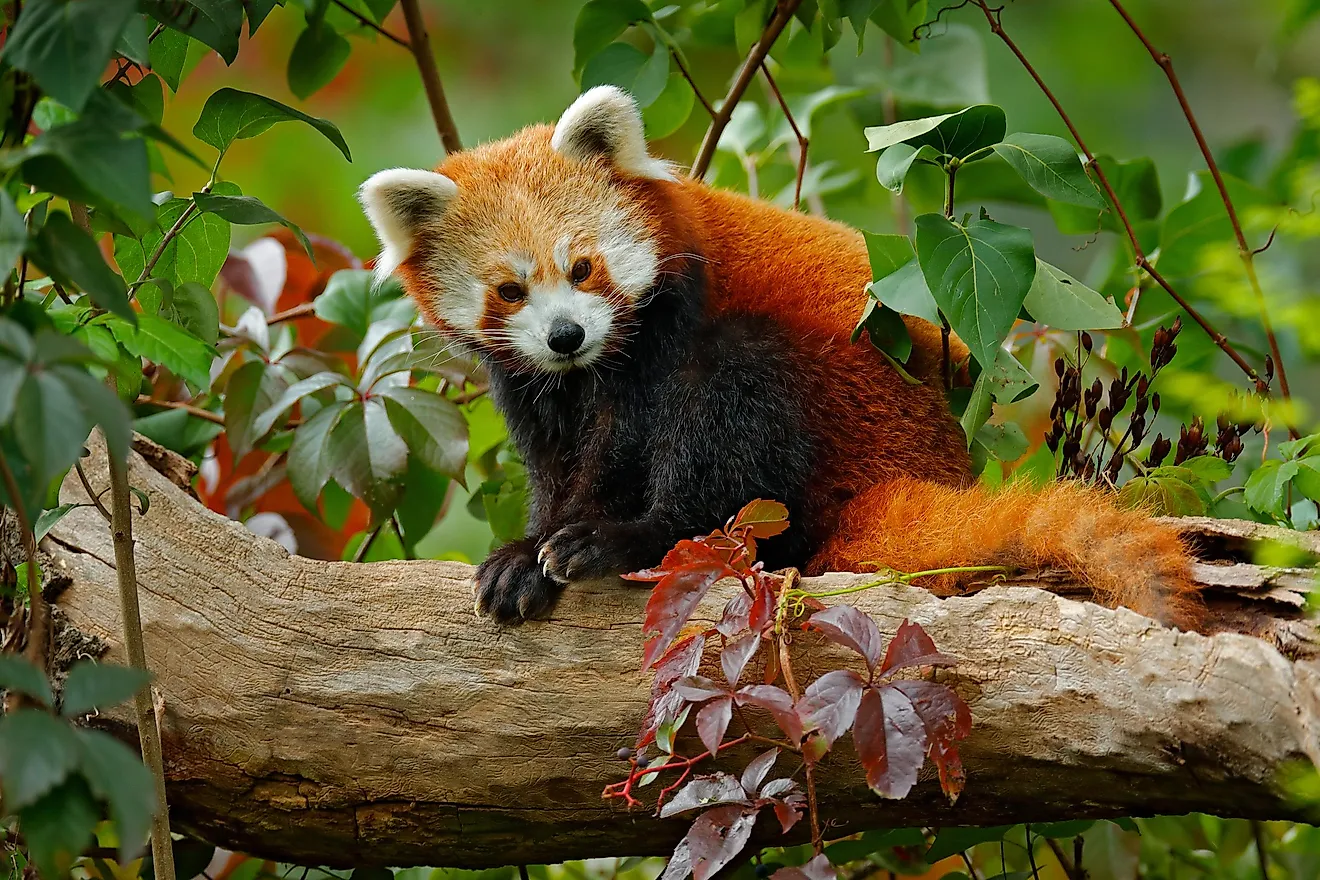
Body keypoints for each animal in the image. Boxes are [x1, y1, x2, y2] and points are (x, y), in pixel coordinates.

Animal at [359, 85, 1198, 630]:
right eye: (510, 289)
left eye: (583, 269)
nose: (566, 335)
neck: (591, 369)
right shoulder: (532, 384)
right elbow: (555, 458)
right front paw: (524, 551)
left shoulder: (666, 323)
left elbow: (621, 443)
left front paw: (563, 539)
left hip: (835, 412)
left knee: (736, 405)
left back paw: (641, 539)